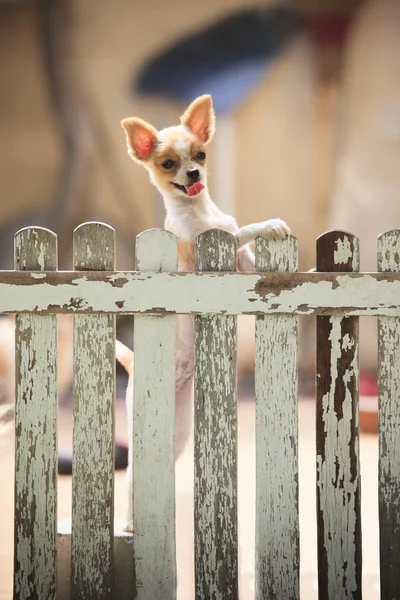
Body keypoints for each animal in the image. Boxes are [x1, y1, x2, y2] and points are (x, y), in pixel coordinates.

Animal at [117, 95, 290, 528]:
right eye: (168, 164)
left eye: (200, 155)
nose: (194, 173)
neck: (199, 211)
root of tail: (133, 362)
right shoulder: (208, 248)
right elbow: (239, 231)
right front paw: (269, 224)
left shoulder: (242, 263)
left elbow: (247, 252)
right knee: (129, 478)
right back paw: (128, 522)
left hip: (177, 435)